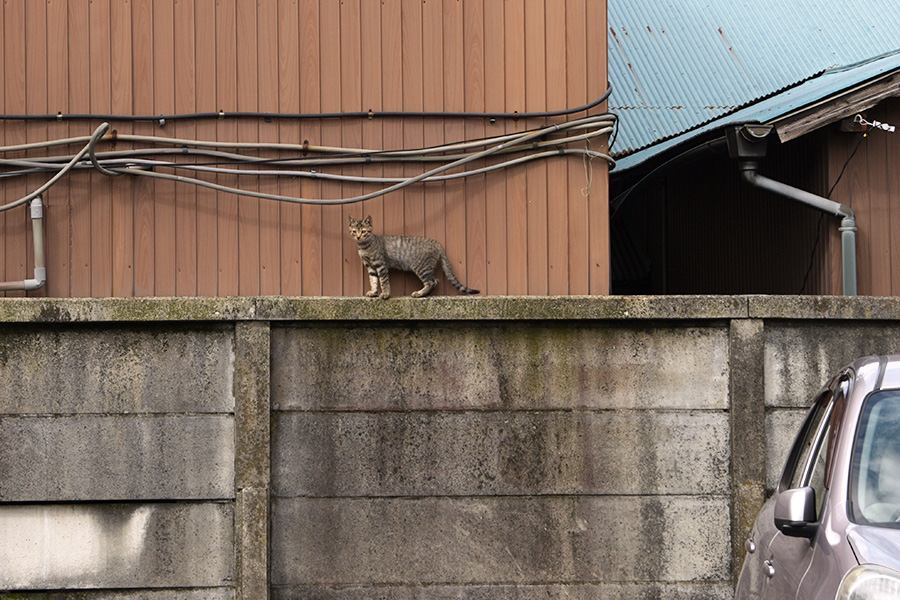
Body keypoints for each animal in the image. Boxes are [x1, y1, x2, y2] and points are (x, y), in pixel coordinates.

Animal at [350, 216, 482, 300]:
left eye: (363, 231)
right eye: (354, 231)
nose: (358, 237)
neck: (364, 246)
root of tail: (437, 243)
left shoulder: (381, 264)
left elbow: (383, 281)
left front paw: (385, 294)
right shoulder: (370, 267)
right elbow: (373, 281)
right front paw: (373, 292)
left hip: (421, 267)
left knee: (432, 281)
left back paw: (419, 293)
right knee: (436, 281)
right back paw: (423, 294)